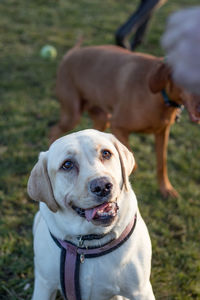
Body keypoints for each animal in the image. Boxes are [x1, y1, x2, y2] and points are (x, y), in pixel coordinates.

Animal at [28, 129, 155, 300]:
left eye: (106, 153)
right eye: (67, 165)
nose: (102, 186)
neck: (88, 243)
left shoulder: (141, 291)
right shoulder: (44, 285)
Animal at [50, 45, 200, 198]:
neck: (159, 97)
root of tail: (71, 53)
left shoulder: (162, 132)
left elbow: (161, 163)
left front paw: (165, 188)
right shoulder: (118, 126)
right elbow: (128, 153)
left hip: (102, 118)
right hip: (72, 115)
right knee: (54, 130)